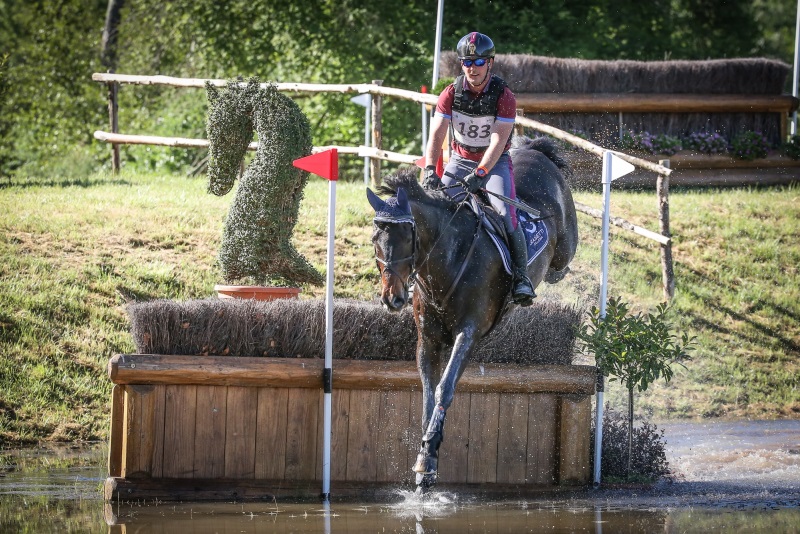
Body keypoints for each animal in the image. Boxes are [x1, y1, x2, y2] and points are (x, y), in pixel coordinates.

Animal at [366, 135, 580, 494]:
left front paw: (428, 459)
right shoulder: (428, 340)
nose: (392, 299)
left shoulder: (468, 333)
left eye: (407, 236)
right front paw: (425, 463)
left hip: (563, 242)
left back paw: (536, 280)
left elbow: (445, 387)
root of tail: (536, 149)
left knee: (556, 259)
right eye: (375, 239)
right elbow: (428, 392)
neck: (447, 260)